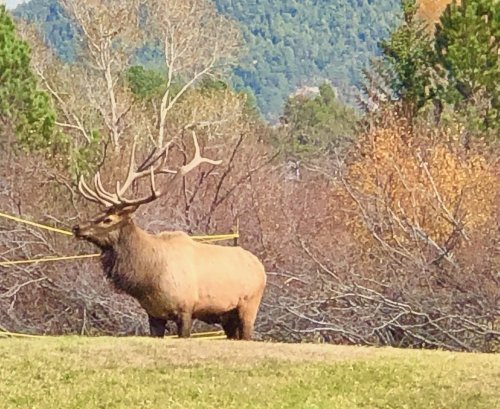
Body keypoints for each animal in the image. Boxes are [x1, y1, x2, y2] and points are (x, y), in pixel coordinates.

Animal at [72, 133, 268, 338]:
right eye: (98, 212)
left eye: (107, 219)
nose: (77, 227)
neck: (148, 279)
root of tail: (261, 268)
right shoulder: (154, 314)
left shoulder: (186, 309)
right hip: (227, 316)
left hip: (249, 306)